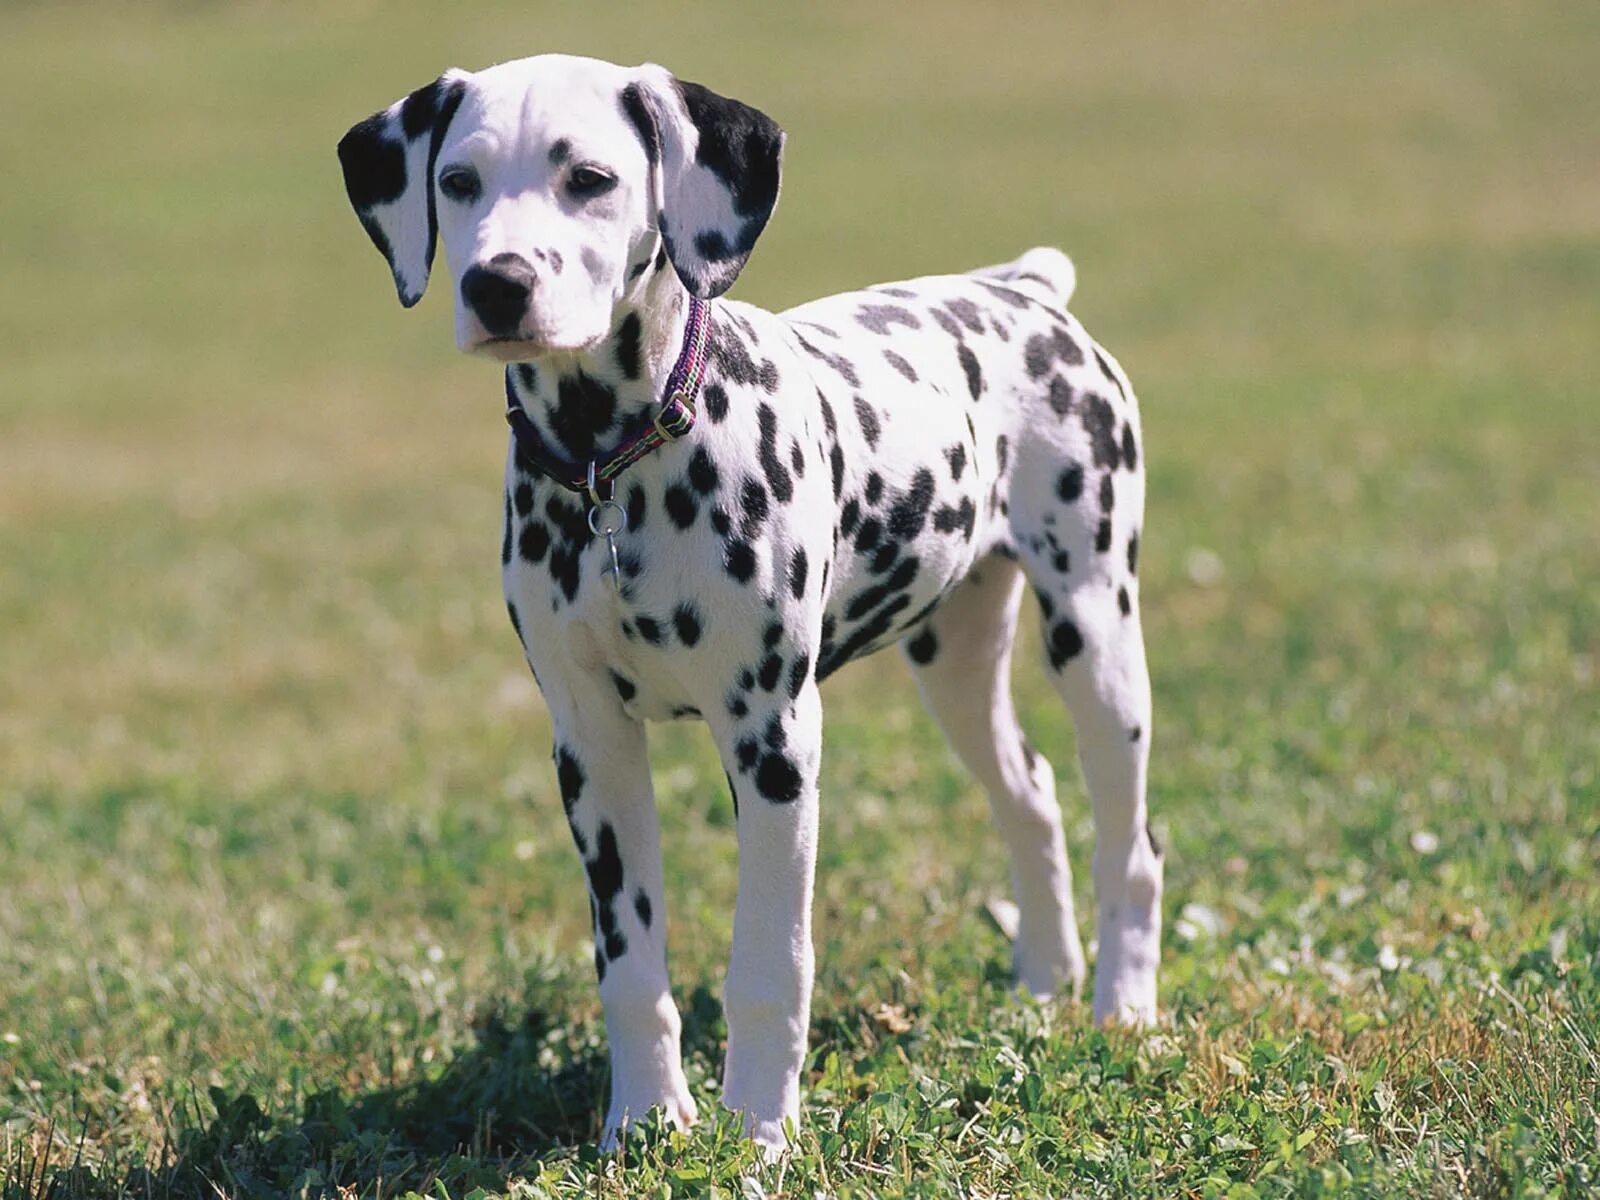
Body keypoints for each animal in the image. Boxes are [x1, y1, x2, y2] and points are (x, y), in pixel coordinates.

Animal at [340, 54, 1164, 1158]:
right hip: (953, 663)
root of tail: (1022, 290)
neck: (619, 463)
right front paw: (646, 1121)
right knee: (1028, 792)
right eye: (458, 182)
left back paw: (1123, 1009)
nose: (495, 284)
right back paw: (1044, 983)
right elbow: (629, 965)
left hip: (1095, 637)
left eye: (589, 178)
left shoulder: (773, 742)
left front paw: (760, 1135)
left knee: (1132, 844)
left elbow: (770, 966)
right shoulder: (591, 752)